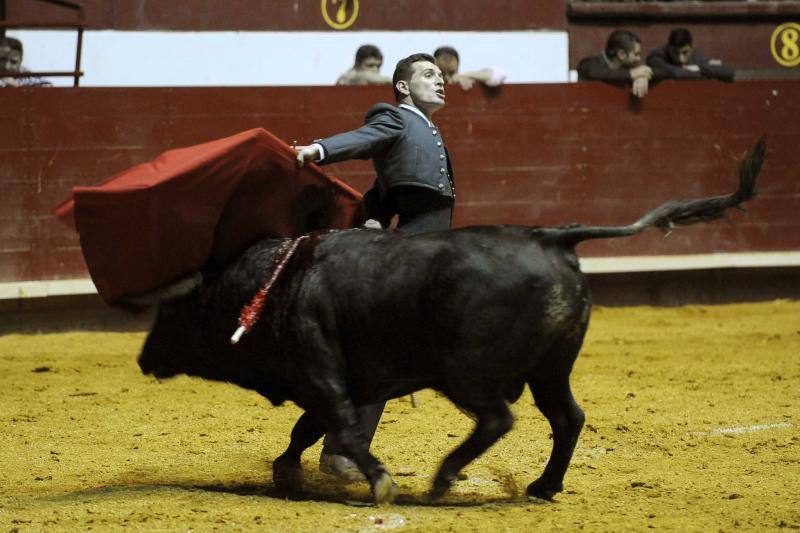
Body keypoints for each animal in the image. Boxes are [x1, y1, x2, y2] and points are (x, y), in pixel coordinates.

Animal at [136, 138, 764, 502]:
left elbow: (335, 424)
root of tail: (550, 236)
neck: (276, 282)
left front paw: (376, 481)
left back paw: (443, 480)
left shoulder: (322, 370)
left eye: (171, 313)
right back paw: (543, 486)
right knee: (568, 418)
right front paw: (292, 472)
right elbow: (311, 428)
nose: (142, 358)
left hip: (467, 369)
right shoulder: (346, 380)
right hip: (550, 368)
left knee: (498, 419)